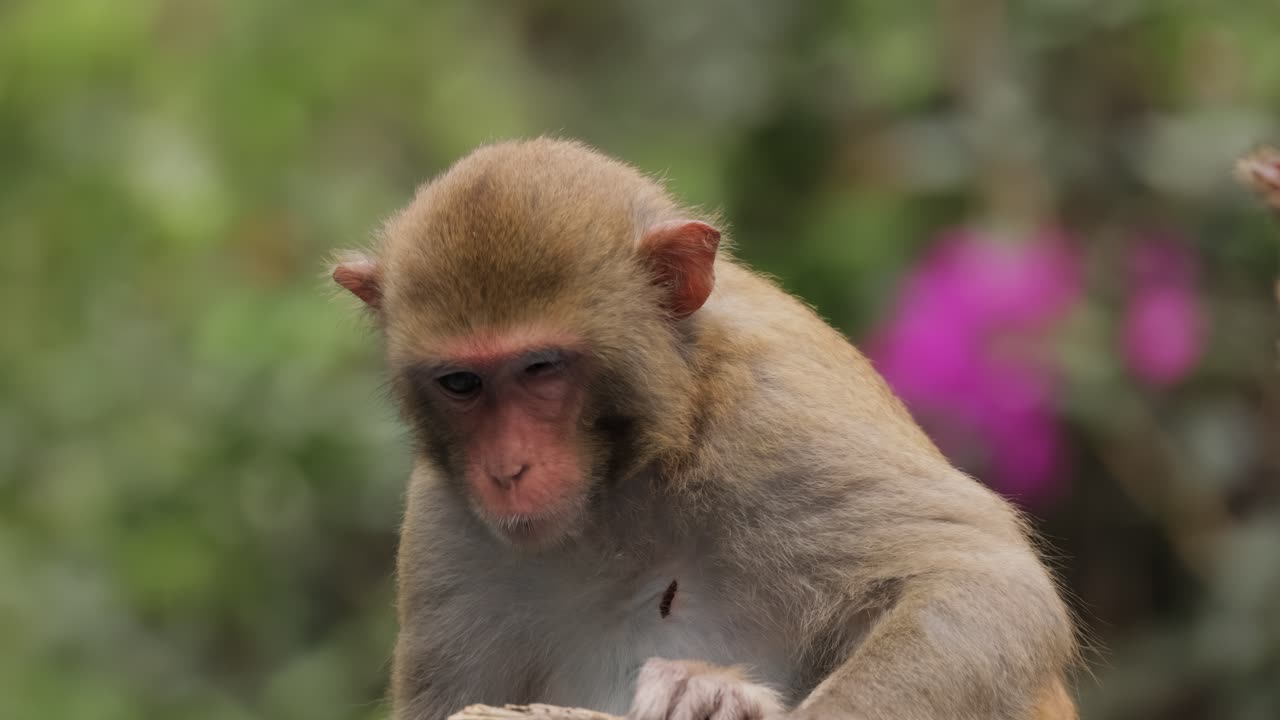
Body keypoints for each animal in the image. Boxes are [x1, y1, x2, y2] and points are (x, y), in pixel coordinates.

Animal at [331, 138, 1080, 720]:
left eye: (540, 367)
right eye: (461, 383)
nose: (506, 470)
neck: (628, 480)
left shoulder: (779, 416)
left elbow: (981, 581)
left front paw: (718, 696)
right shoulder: (445, 528)